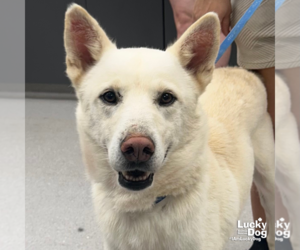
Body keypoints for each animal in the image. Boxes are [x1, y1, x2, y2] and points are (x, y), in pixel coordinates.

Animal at [64, 4, 276, 250]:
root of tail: (243, 71)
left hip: (269, 182)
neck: (146, 207)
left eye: (166, 97)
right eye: (109, 96)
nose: (137, 148)